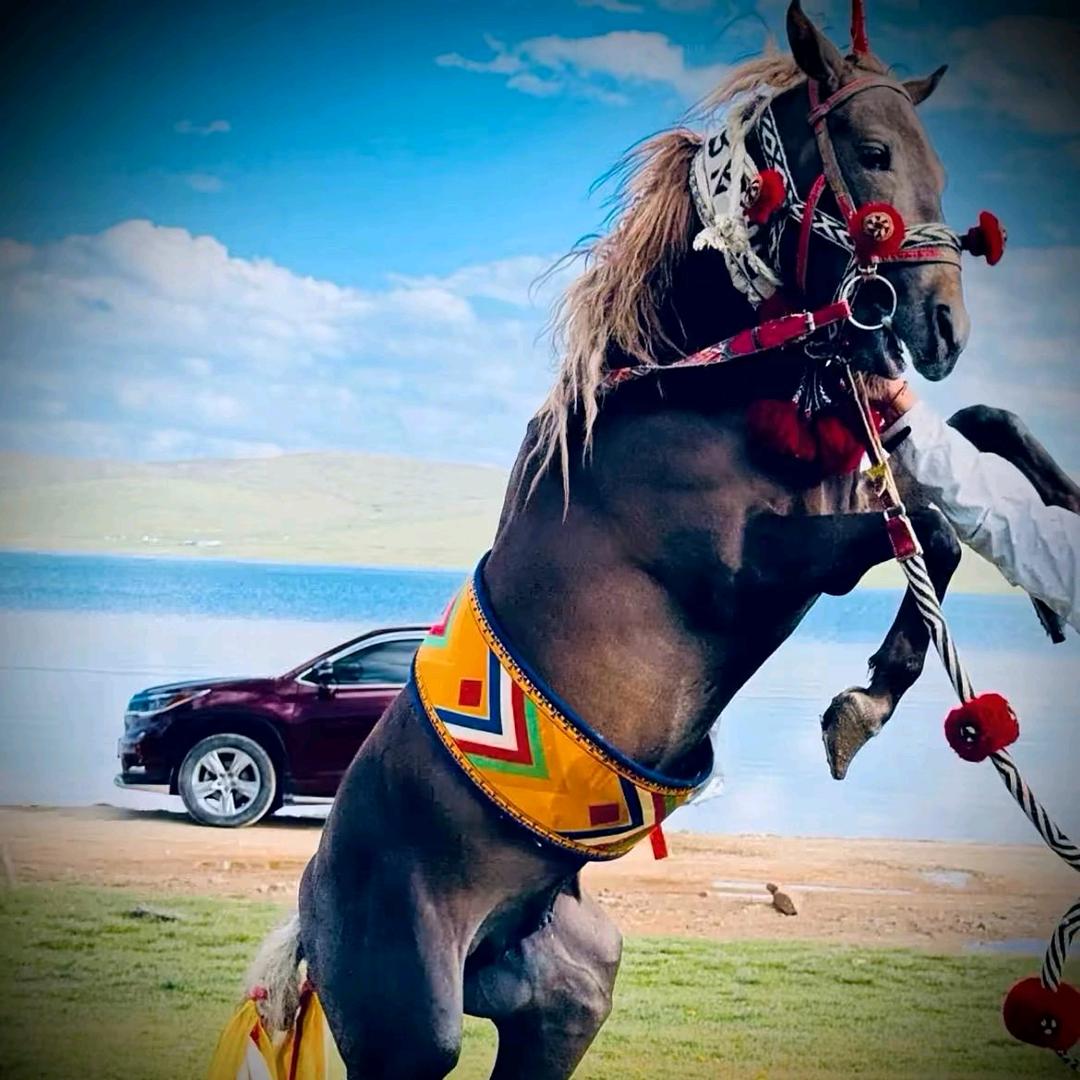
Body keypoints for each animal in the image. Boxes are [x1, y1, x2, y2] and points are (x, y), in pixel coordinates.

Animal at [233, 4, 1070, 1076]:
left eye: (942, 168)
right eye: (875, 151)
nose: (942, 326)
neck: (684, 387)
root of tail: (311, 902)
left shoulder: (852, 476)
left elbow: (983, 437)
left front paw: (1049, 567)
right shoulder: (759, 565)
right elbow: (926, 531)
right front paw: (863, 704)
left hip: (563, 999)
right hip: (408, 1031)